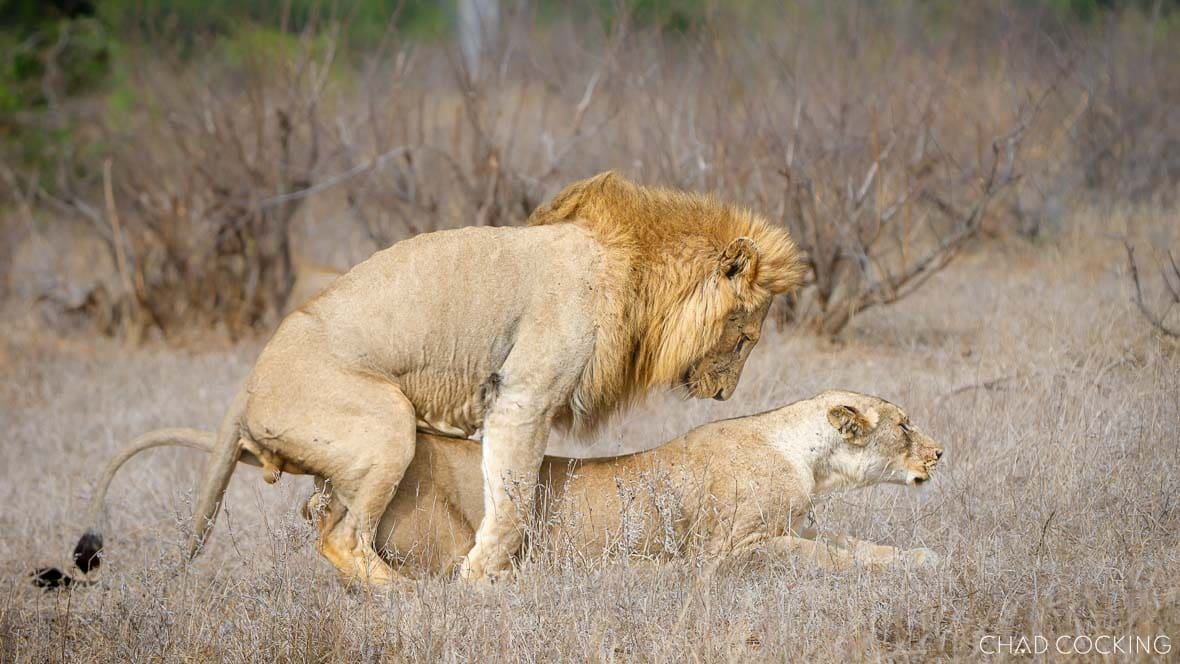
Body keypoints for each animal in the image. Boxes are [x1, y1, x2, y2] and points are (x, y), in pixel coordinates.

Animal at [45, 171, 805, 588]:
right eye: (745, 336)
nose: (725, 395)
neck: (637, 274)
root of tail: (249, 382)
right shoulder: (522, 395)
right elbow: (512, 497)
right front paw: (483, 579)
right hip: (385, 420)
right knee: (342, 538)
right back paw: (411, 597)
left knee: (326, 516)